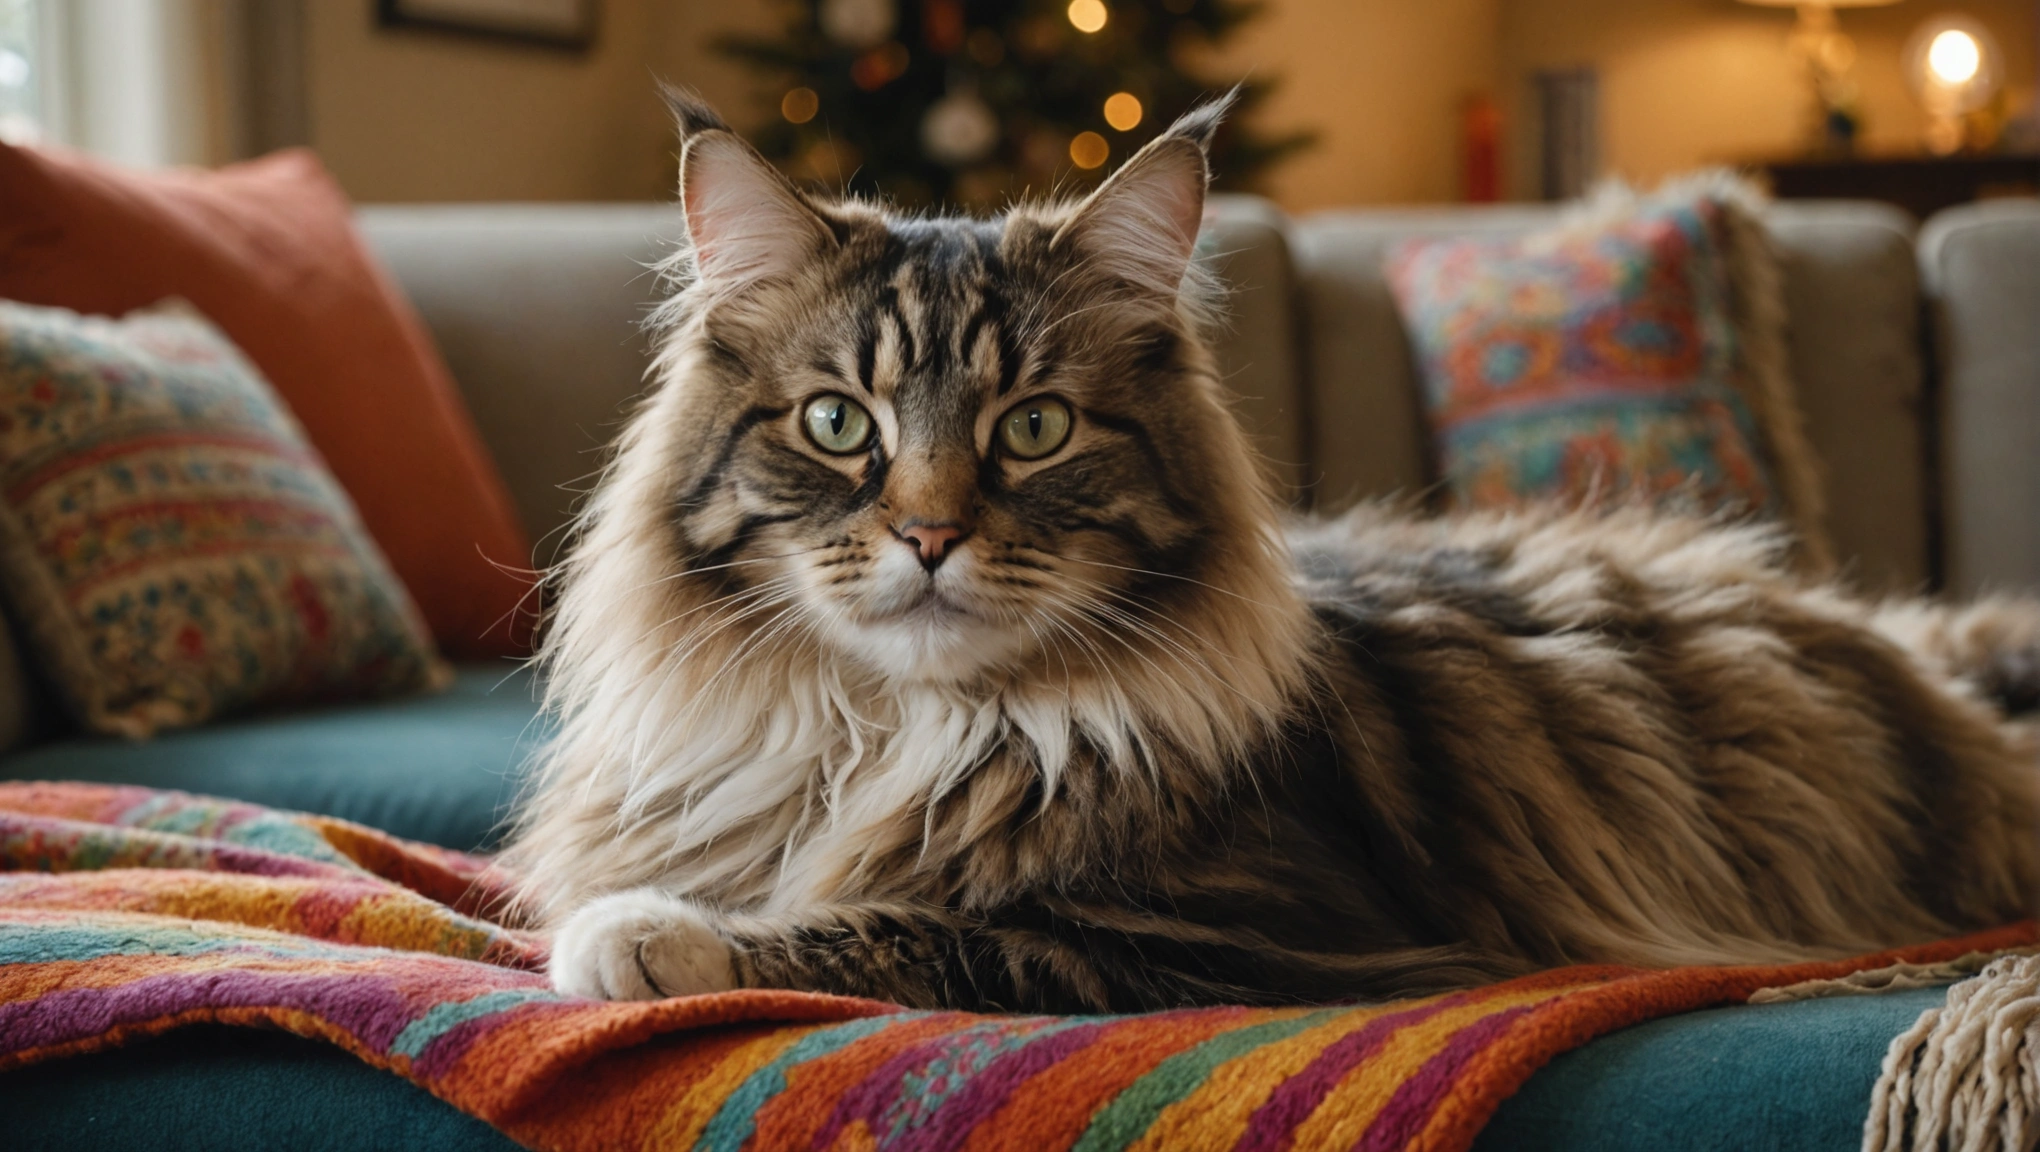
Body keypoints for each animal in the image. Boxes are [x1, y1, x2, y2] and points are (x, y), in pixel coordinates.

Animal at [505, 87, 2040, 1007]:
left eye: (1035, 429)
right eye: (839, 423)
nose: (933, 532)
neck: (896, 728)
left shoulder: (1222, 925)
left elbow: (898, 925)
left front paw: (641, 936)